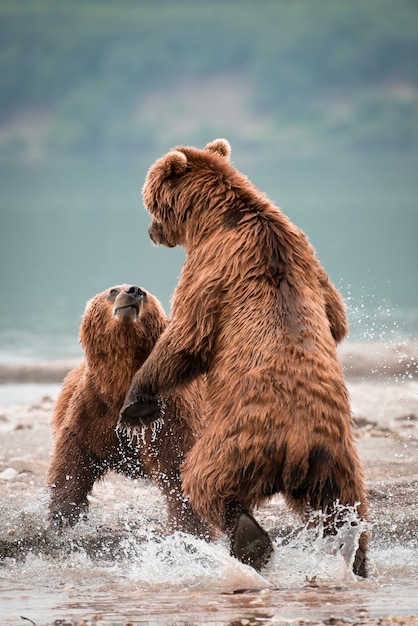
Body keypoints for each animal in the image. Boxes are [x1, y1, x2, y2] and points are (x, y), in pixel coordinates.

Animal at [48, 282, 209, 536]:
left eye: (146, 294)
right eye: (113, 291)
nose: (133, 290)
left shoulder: (171, 414)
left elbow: (177, 465)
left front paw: (191, 529)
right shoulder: (93, 407)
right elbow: (72, 460)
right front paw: (61, 516)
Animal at [120, 140, 370, 576]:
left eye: (149, 199)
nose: (150, 231)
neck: (214, 218)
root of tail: (298, 443)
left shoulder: (211, 270)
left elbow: (187, 338)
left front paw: (137, 401)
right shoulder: (307, 256)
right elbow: (336, 317)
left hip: (237, 439)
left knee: (205, 480)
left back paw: (250, 540)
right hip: (335, 462)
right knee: (345, 509)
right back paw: (355, 557)